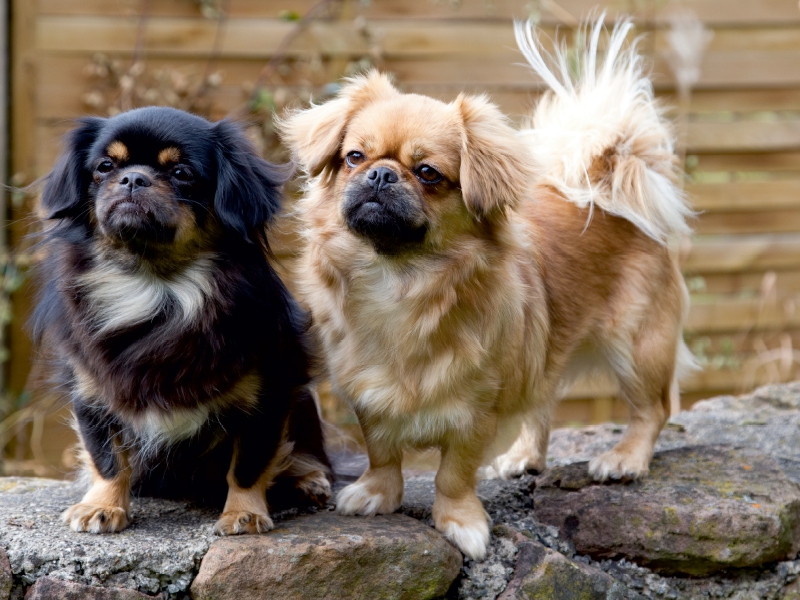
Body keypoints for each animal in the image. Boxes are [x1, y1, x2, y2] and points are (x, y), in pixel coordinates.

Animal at [31, 106, 332, 536]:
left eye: (181, 173)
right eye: (105, 167)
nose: (133, 178)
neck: (155, 284)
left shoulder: (270, 393)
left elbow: (249, 463)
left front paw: (243, 514)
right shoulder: (92, 392)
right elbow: (106, 455)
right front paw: (102, 506)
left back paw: (308, 481)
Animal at [280, 19, 692, 564]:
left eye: (428, 173)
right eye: (354, 157)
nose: (381, 173)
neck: (401, 277)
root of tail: (608, 188)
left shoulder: (476, 410)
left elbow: (453, 473)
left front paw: (460, 523)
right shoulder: (368, 390)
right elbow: (382, 451)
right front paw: (377, 494)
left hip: (636, 344)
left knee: (652, 409)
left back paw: (624, 459)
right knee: (544, 402)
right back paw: (525, 457)